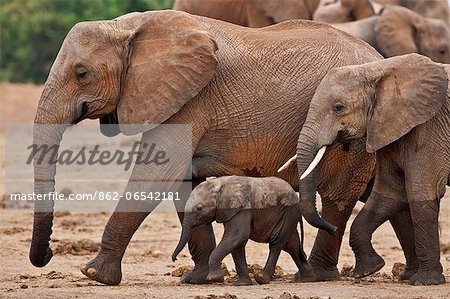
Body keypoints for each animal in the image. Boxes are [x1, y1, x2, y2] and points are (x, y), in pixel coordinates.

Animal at [172, 177, 316, 288]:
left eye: (199, 208)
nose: (174, 259)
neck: (218, 184)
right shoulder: (230, 211)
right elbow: (237, 243)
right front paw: (241, 284)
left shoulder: (242, 209)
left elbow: (237, 236)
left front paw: (214, 277)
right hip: (288, 216)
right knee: (292, 245)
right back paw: (307, 279)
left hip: (288, 212)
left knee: (277, 242)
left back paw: (262, 278)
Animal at [284, 53, 450, 286]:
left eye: (338, 107)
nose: (331, 228)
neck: (378, 69)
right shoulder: (386, 127)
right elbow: (389, 193)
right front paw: (369, 269)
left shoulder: (430, 126)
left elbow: (421, 191)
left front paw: (426, 281)